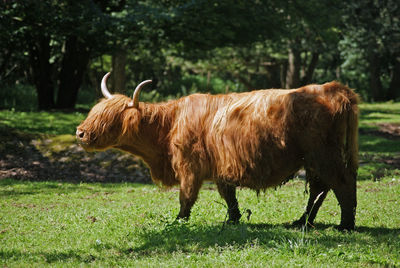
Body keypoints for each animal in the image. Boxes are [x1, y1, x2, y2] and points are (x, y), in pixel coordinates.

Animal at [76, 73, 358, 230]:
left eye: (109, 119)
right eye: (94, 112)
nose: (80, 133)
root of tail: (334, 88)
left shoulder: (189, 166)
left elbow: (186, 197)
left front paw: (178, 221)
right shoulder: (222, 166)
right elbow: (228, 196)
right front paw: (233, 220)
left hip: (323, 154)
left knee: (340, 183)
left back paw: (345, 225)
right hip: (313, 159)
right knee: (320, 188)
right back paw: (303, 222)